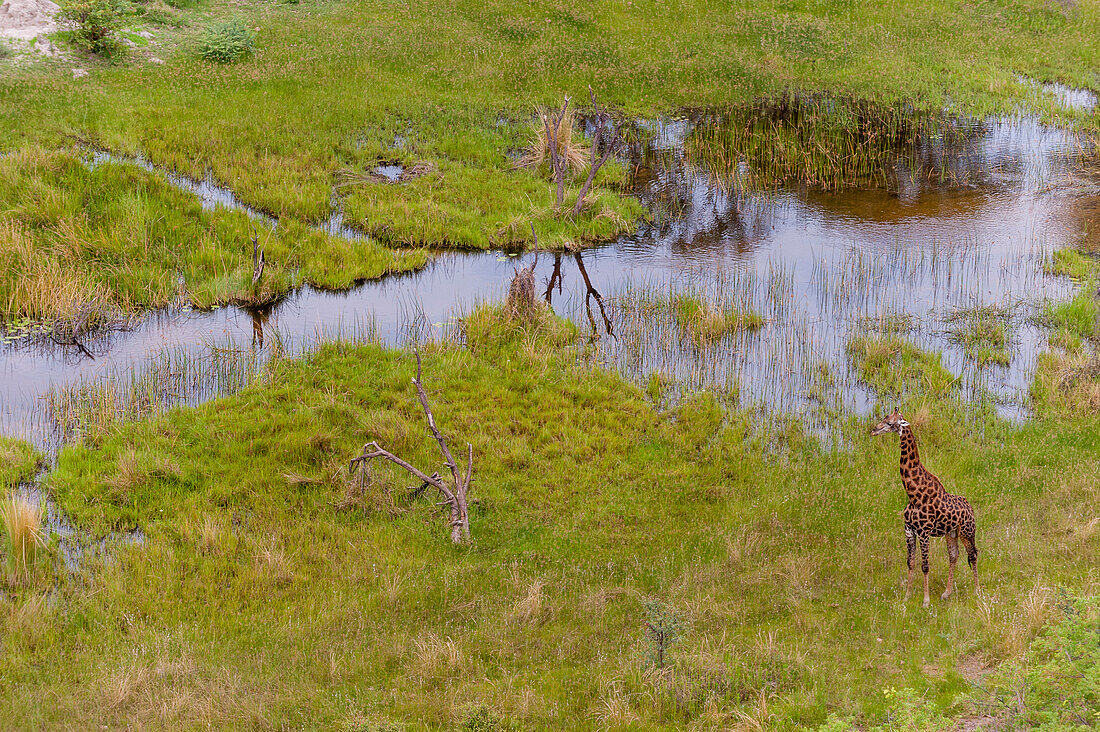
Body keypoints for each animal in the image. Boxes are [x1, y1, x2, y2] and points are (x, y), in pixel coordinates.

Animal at [871, 411, 985, 603]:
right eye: (884, 418)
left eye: (890, 423)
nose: (873, 430)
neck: (913, 494)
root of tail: (970, 507)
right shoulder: (909, 529)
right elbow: (911, 562)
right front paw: (907, 597)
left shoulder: (924, 532)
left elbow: (925, 565)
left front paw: (925, 601)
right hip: (951, 532)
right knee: (954, 556)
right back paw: (947, 593)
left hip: (967, 531)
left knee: (973, 554)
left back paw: (977, 590)